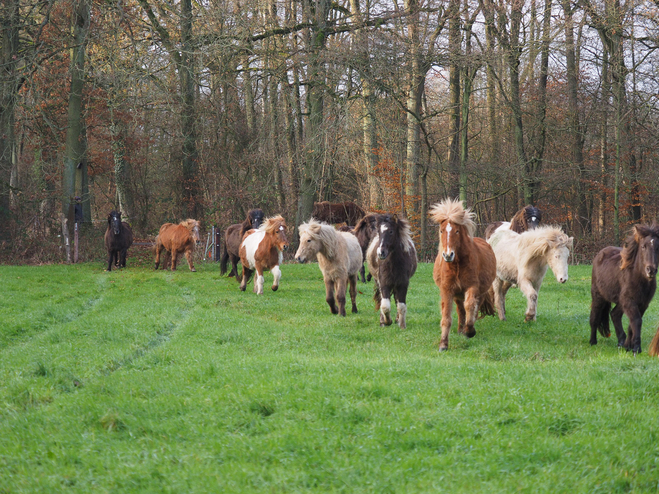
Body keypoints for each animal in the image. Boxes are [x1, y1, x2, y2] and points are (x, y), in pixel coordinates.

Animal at [430, 198, 498, 352]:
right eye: (441, 230)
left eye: (456, 231)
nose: (448, 255)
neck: (456, 265)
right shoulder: (447, 290)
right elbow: (447, 317)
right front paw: (443, 344)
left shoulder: (472, 287)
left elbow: (470, 306)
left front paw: (470, 331)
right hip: (457, 294)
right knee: (460, 310)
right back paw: (461, 330)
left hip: (479, 292)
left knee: (472, 308)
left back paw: (466, 330)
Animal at [592, 222, 659, 354]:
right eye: (643, 246)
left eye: (658, 247)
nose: (651, 270)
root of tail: (599, 254)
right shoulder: (630, 301)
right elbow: (637, 321)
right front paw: (636, 348)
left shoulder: (643, 304)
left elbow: (631, 325)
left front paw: (629, 346)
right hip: (598, 296)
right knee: (594, 317)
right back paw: (592, 342)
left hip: (620, 301)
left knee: (614, 314)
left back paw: (621, 342)